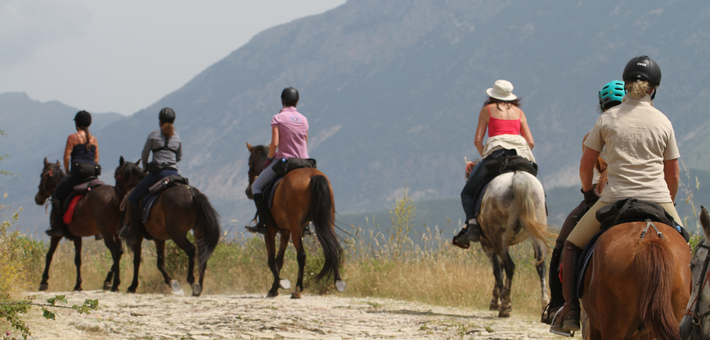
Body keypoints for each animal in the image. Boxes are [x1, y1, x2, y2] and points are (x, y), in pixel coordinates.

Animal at [33, 158, 122, 290]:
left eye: (42, 177)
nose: (37, 198)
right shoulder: (77, 236)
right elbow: (78, 260)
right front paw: (78, 284)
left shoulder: (56, 235)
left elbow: (49, 255)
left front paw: (44, 282)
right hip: (117, 233)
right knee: (120, 252)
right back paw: (108, 281)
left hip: (107, 233)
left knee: (115, 252)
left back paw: (114, 283)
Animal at [114, 158, 221, 296]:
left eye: (117, 176)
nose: (117, 197)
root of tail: (191, 192)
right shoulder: (159, 239)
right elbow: (160, 263)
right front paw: (172, 283)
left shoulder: (137, 237)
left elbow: (136, 261)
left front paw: (132, 286)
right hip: (199, 231)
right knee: (202, 255)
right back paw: (199, 287)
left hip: (177, 234)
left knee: (191, 250)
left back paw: (192, 283)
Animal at [246, 143, 346, 298]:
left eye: (250, 164)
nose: (248, 191)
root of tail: (314, 176)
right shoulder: (286, 231)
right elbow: (279, 260)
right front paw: (276, 286)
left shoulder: (270, 231)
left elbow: (271, 260)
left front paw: (277, 287)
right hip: (326, 223)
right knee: (332, 248)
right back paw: (338, 282)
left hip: (296, 228)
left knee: (302, 255)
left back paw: (298, 289)